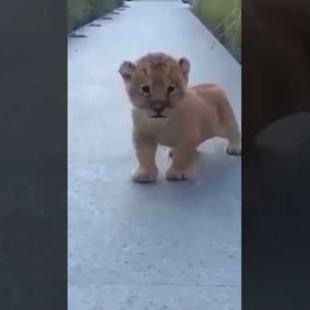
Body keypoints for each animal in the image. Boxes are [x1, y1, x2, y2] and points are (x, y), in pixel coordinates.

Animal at [117, 50, 241, 182]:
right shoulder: (143, 135)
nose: (158, 108)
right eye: (146, 89)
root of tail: (213, 85)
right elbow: (144, 155)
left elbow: (182, 155)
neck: (160, 124)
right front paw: (145, 173)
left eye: (171, 88)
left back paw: (235, 147)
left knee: (234, 131)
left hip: (224, 123)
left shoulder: (187, 136)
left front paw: (176, 172)